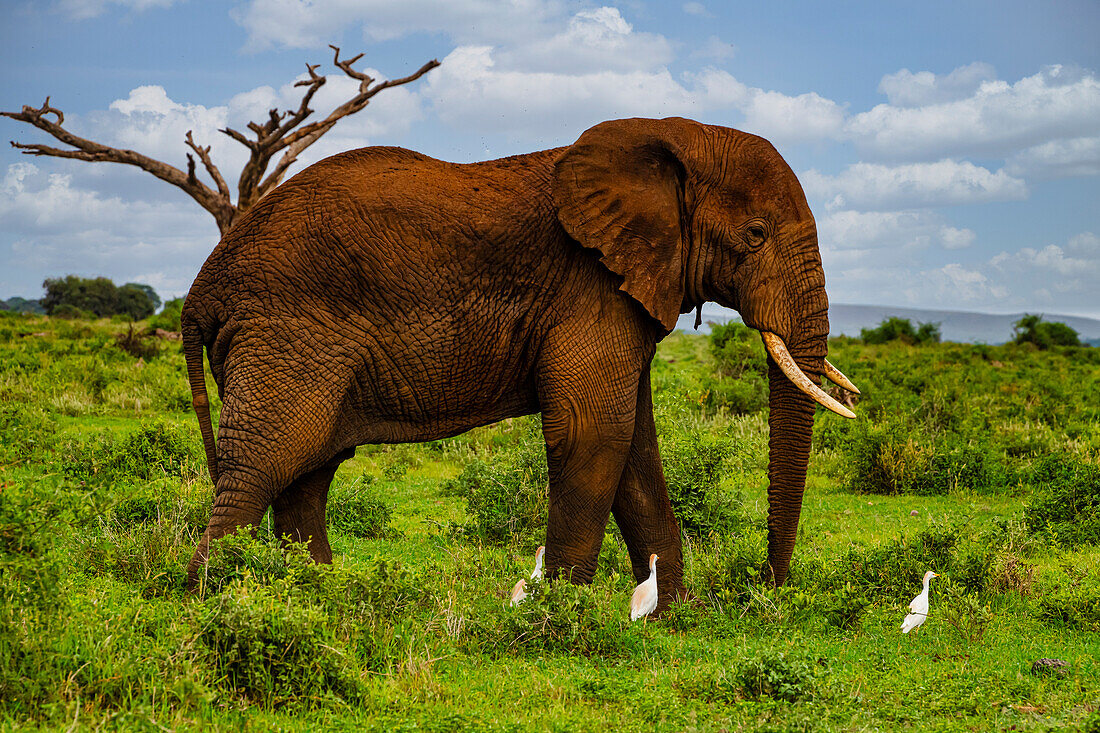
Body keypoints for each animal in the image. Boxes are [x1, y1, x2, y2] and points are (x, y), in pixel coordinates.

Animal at [180, 115, 853, 603]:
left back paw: (317, 595)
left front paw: (671, 618)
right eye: (755, 235)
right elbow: (595, 432)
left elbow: (633, 443)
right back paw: (212, 598)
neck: (671, 140)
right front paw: (565, 616)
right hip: (285, 332)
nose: (765, 590)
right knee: (262, 467)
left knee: (307, 473)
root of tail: (202, 287)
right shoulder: (591, 286)